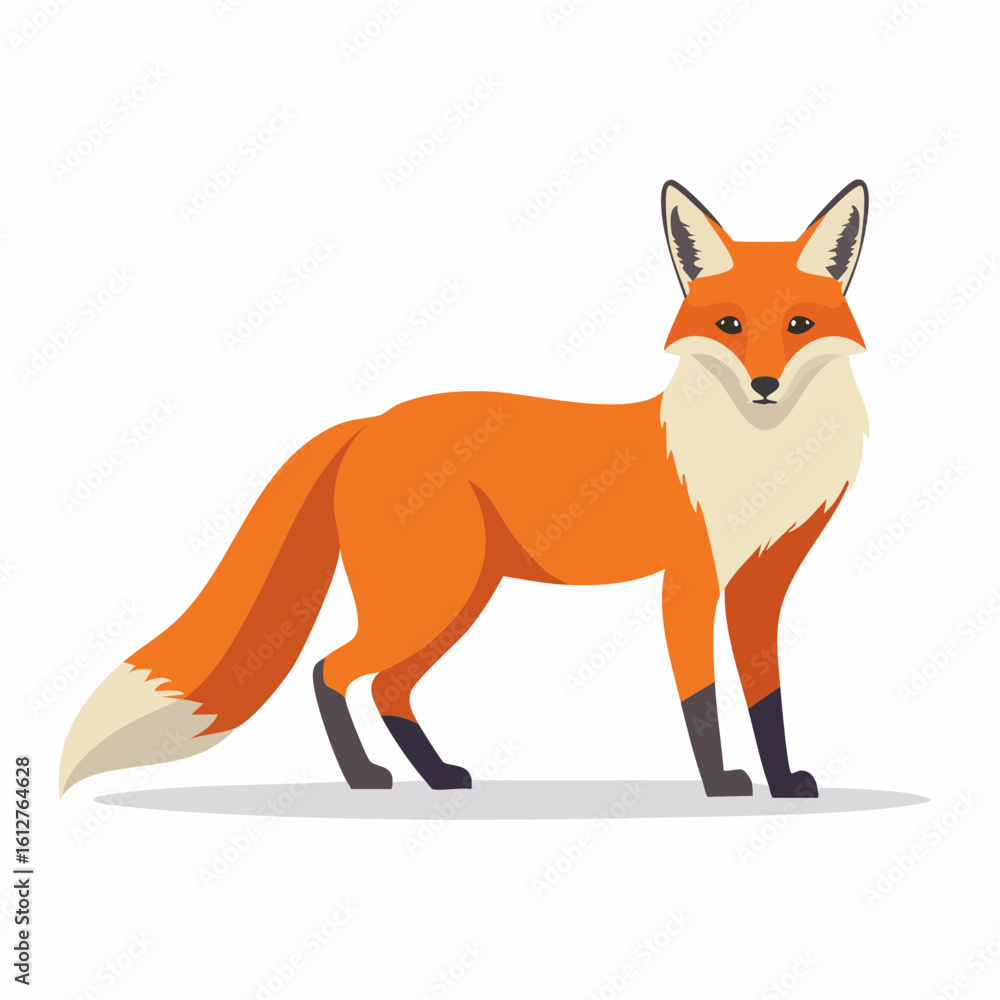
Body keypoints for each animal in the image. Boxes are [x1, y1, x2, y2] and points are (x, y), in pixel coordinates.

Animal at [60, 179, 869, 800]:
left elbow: (768, 699)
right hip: (431, 596)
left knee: (386, 686)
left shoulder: (763, 583)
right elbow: (701, 702)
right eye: (729, 325)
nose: (764, 386)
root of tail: (371, 421)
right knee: (332, 669)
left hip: (459, 596)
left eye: (799, 325)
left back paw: (435, 774)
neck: (757, 463)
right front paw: (721, 785)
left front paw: (782, 782)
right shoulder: (691, 581)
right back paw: (364, 777)